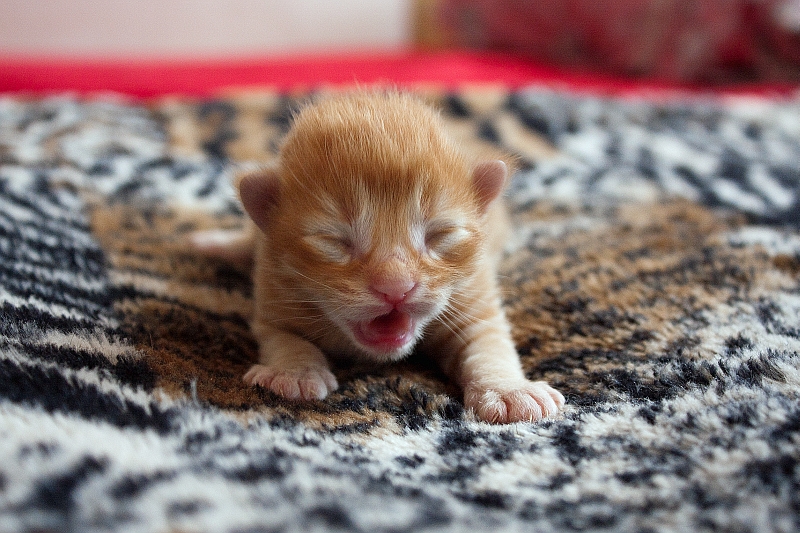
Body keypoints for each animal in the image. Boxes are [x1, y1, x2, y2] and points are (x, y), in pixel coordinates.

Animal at [197, 91, 564, 424]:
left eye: (439, 235)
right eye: (334, 241)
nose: (396, 288)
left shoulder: (474, 297)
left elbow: (489, 345)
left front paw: (511, 391)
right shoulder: (274, 292)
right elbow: (284, 338)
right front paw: (293, 374)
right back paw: (216, 245)